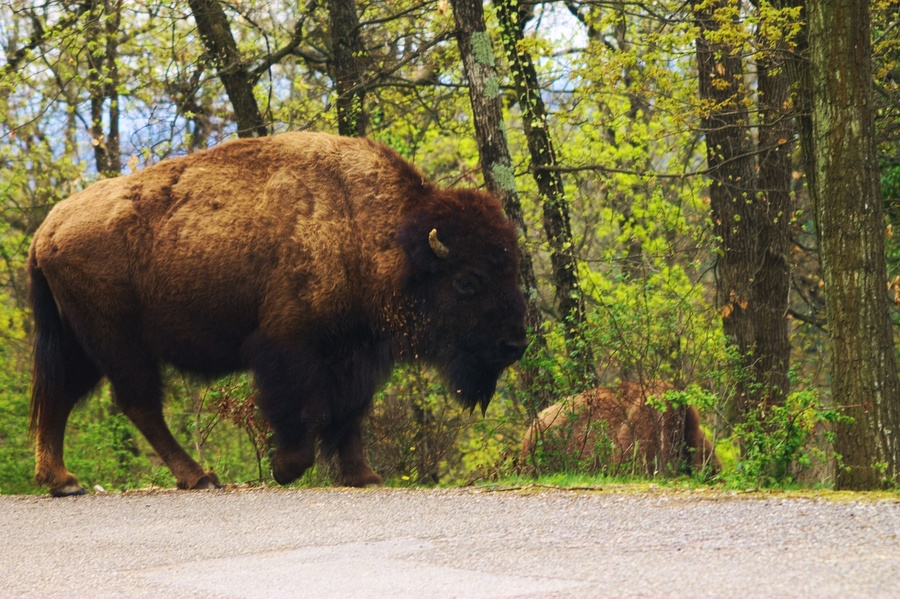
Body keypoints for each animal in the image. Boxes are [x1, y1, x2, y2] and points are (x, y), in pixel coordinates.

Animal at [28, 132, 528, 496]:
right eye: (467, 281)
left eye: (513, 269)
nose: (514, 344)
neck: (367, 229)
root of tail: (48, 228)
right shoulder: (289, 345)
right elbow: (301, 410)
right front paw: (286, 468)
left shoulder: (357, 352)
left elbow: (350, 414)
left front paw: (363, 476)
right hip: (119, 343)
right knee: (137, 403)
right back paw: (199, 477)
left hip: (81, 344)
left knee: (60, 398)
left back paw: (63, 482)